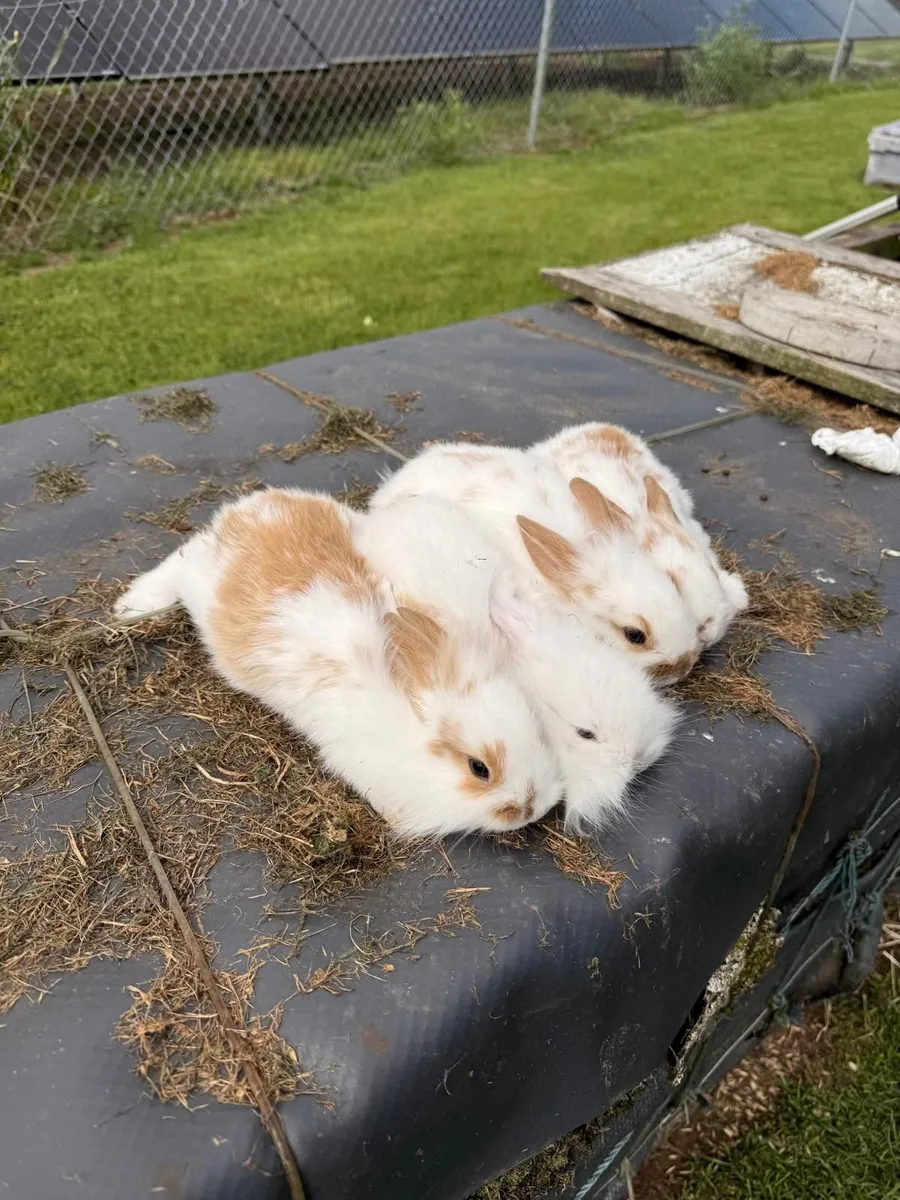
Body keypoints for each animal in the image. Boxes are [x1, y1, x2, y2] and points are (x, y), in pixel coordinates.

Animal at [114, 488, 563, 840]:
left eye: (538, 730)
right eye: (479, 768)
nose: (534, 808)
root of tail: (242, 514)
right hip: (194, 576)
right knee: (178, 559)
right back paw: (130, 605)